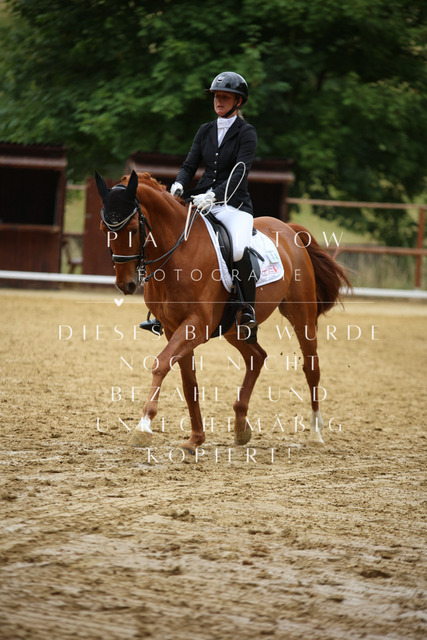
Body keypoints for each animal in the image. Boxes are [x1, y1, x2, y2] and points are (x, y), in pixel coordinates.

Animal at [95, 170, 351, 452]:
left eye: (132, 229)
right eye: (104, 229)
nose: (126, 284)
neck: (177, 253)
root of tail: (287, 228)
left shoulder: (197, 324)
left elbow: (160, 364)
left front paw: (143, 427)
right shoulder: (173, 328)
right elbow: (188, 382)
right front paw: (195, 438)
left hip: (300, 315)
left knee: (311, 367)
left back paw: (316, 432)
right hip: (234, 328)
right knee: (257, 357)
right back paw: (241, 426)